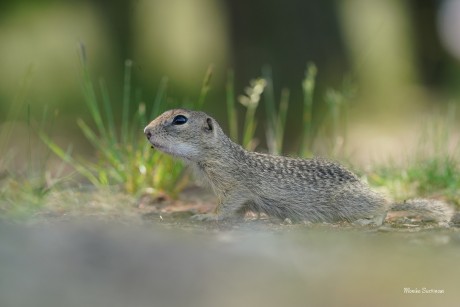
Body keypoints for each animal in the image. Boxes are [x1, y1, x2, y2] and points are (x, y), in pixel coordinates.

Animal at [144, 109, 452, 225]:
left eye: (180, 120)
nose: (145, 132)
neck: (218, 153)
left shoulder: (233, 184)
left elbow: (227, 204)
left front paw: (206, 215)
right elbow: (239, 210)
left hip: (348, 201)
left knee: (385, 204)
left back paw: (371, 220)